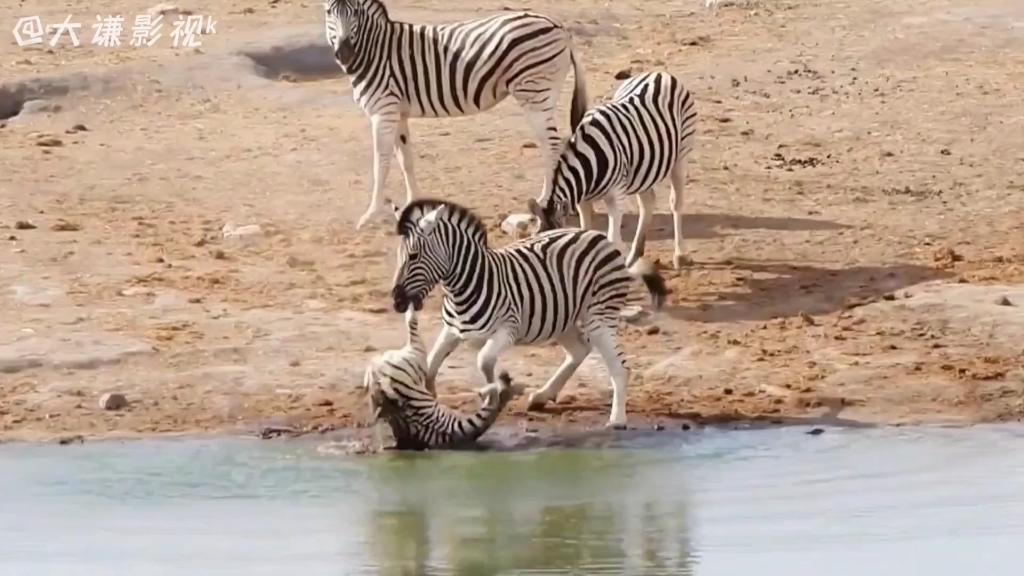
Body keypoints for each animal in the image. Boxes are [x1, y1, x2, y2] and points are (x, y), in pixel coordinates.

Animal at [323, 0, 589, 228]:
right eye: (328, 12)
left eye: (356, 12)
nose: (344, 53)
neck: (375, 52)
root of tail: (558, 25)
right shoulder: (398, 113)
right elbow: (405, 160)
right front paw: (413, 203)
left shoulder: (383, 111)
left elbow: (381, 164)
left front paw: (370, 215)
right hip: (540, 96)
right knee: (553, 144)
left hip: (534, 94)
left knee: (552, 146)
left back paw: (546, 200)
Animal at [387, 196, 667, 426]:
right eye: (399, 256)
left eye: (413, 256)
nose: (397, 302)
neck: (468, 285)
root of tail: (602, 240)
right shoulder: (452, 330)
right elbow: (431, 366)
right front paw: (430, 396)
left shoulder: (506, 331)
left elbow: (484, 361)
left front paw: (493, 394)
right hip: (561, 317)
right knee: (579, 351)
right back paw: (543, 396)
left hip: (598, 316)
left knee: (619, 368)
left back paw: (617, 419)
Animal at [524, 69, 700, 268]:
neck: (587, 167)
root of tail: (659, 73)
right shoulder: (582, 200)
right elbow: (585, 232)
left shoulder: (616, 195)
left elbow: (613, 239)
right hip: (644, 169)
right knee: (647, 202)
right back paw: (634, 255)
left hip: (681, 154)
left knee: (676, 203)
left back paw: (680, 254)